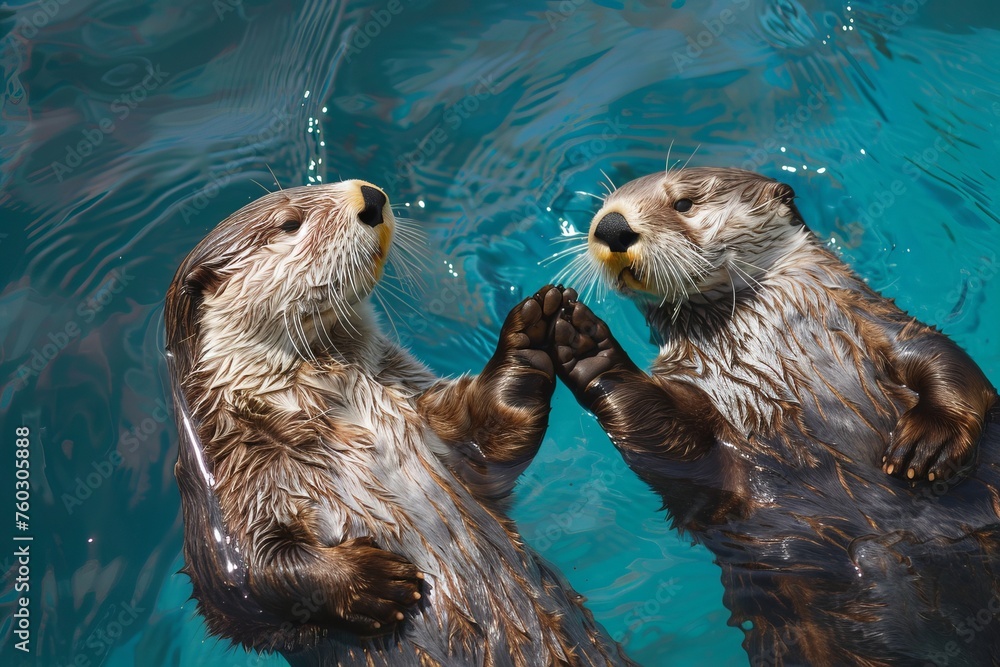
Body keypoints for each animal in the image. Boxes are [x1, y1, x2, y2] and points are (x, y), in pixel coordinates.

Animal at [164, 180, 632, 664]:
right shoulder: (224, 491)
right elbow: (238, 581)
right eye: (290, 223)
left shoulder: (424, 411)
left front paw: (529, 335)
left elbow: (490, 434)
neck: (339, 412)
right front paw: (375, 584)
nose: (370, 196)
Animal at [556, 168, 1000, 667]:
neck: (761, 343)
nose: (611, 226)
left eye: (683, 203)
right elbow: (681, 457)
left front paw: (929, 442)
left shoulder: (876, 320)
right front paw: (586, 349)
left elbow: (944, 360)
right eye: (602, 208)